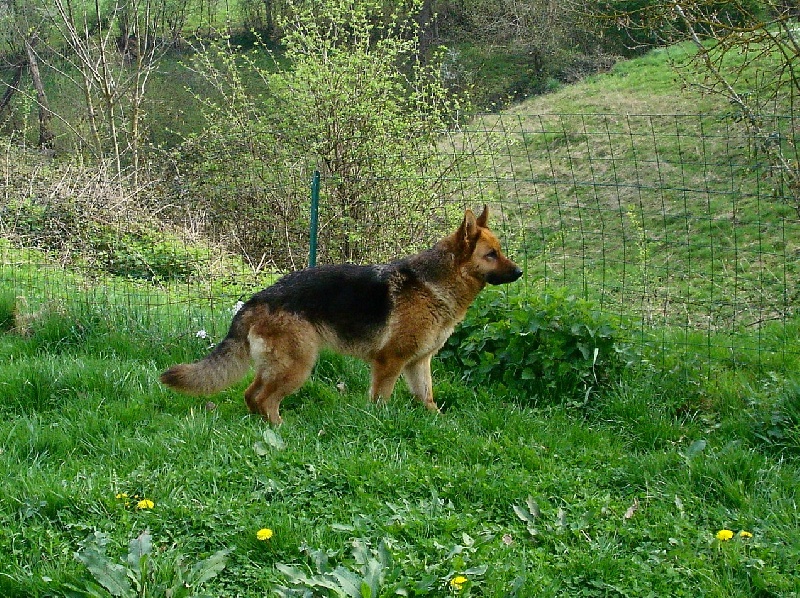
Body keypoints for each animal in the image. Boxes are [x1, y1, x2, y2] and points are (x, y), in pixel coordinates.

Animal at [160, 206, 522, 424]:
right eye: (491, 255)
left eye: (500, 251)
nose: (519, 272)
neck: (433, 284)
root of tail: (257, 299)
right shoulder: (390, 362)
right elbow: (381, 399)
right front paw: (380, 424)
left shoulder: (419, 363)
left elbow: (428, 398)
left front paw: (439, 423)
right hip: (298, 366)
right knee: (264, 397)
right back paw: (281, 428)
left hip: (278, 365)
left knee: (252, 395)